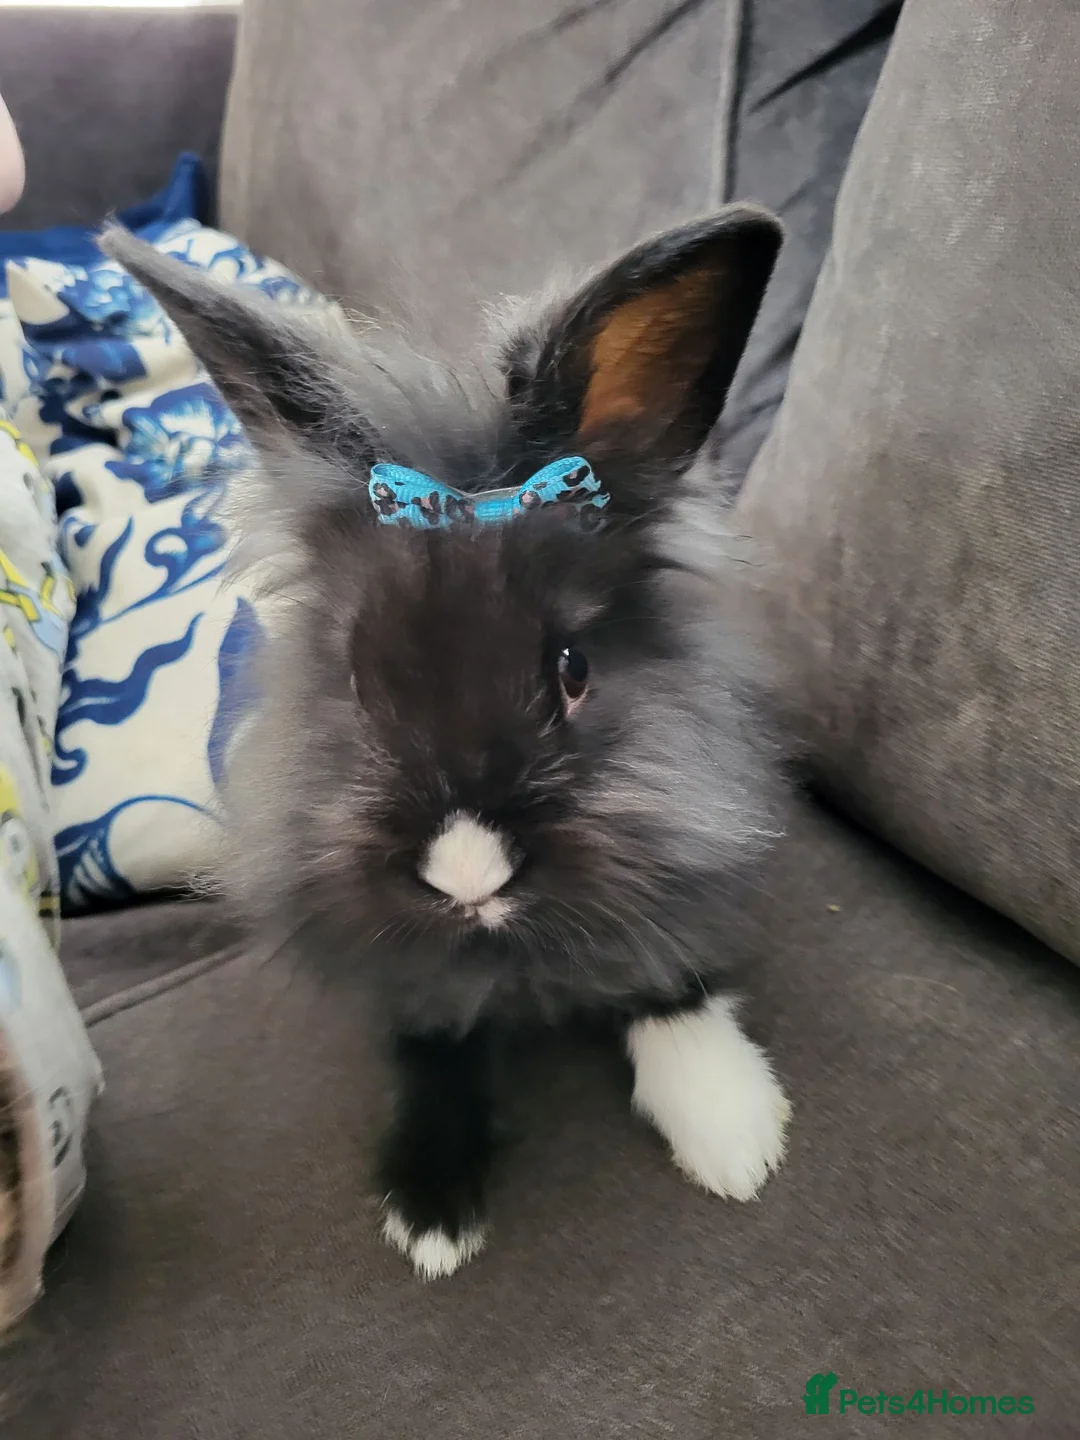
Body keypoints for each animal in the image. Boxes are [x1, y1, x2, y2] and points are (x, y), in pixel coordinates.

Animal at [102, 209, 792, 1280]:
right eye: (353, 679)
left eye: (573, 668)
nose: (467, 874)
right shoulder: (405, 976)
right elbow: (431, 1045)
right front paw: (428, 1219)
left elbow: (667, 980)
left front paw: (737, 1137)